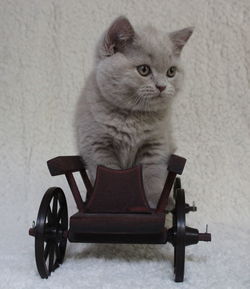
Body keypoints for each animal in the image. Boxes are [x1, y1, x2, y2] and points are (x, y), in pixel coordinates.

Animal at [74, 16, 193, 207]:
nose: (162, 86)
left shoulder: (156, 145)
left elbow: (152, 174)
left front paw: (158, 201)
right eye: (143, 70)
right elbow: (109, 177)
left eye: (171, 72)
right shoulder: (97, 146)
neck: (133, 116)